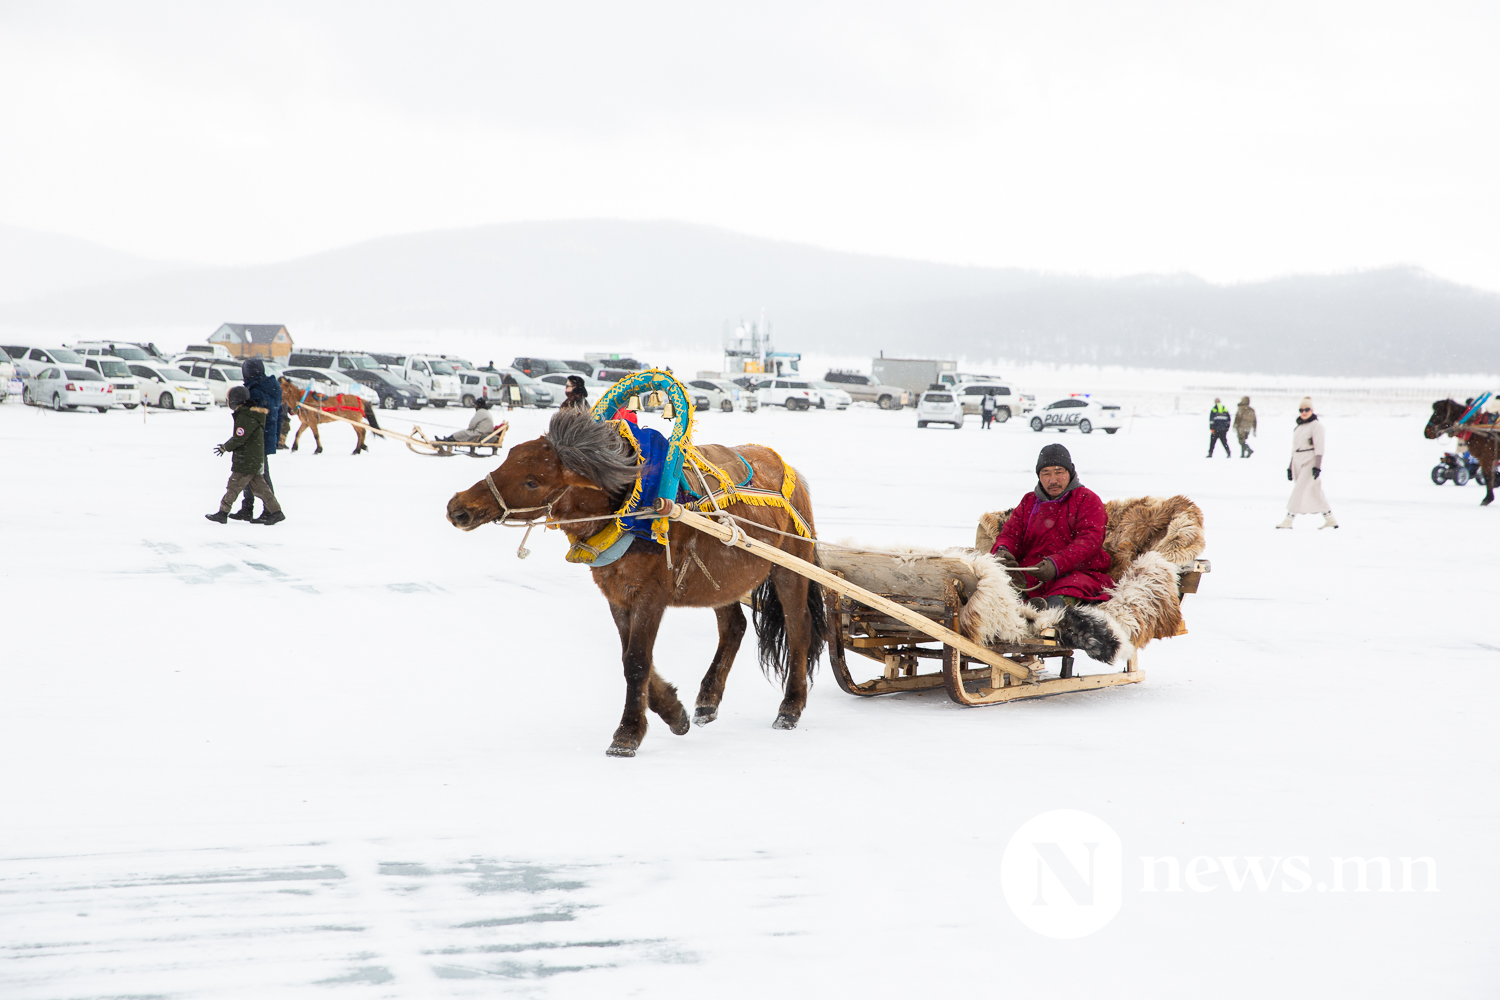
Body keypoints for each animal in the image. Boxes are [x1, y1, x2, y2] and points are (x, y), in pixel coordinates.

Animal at [444, 410, 828, 755]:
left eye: (531, 481)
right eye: (506, 460)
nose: (458, 507)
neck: (632, 509)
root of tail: (788, 471)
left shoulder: (650, 597)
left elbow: (637, 661)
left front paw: (627, 734)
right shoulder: (617, 596)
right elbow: (631, 657)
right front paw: (675, 713)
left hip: (790, 569)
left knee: (799, 628)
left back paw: (790, 708)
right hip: (722, 580)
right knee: (734, 627)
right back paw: (707, 701)